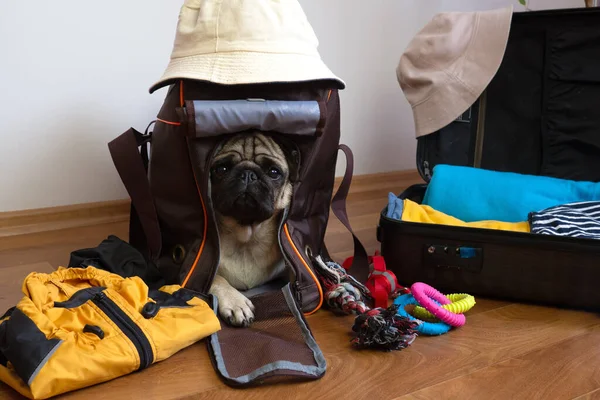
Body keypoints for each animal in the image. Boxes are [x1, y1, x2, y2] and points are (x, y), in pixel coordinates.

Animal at [209, 133, 298, 326]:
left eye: (274, 172)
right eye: (222, 169)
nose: (248, 174)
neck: (247, 236)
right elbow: (217, 278)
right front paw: (235, 301)